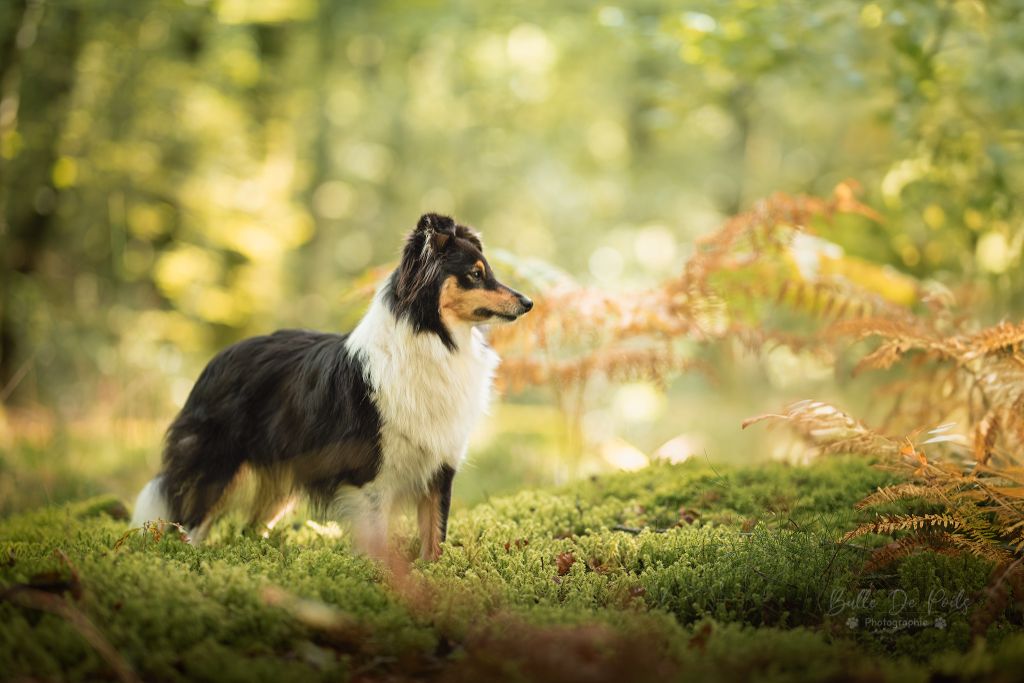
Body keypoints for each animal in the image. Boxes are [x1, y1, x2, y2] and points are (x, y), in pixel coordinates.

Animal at [129, 215, 532, 561]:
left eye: (488, 272)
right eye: (475, 274)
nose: (528, 302)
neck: (433, 338)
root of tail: (216, 361)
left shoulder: (440, 467)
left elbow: (435, 538)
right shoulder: (371, 478)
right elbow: (379, 539)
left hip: (280, 481)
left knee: (248, 527)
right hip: (215, 467)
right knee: (188, 524)